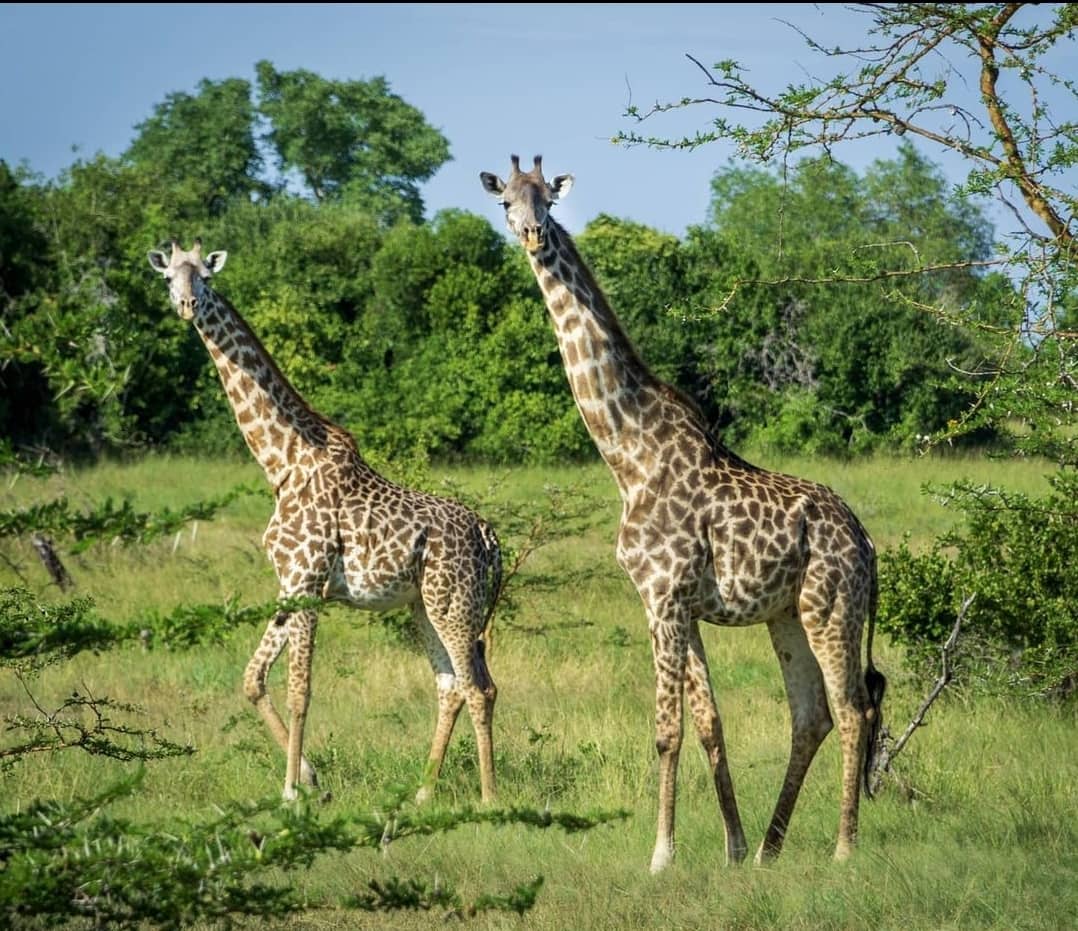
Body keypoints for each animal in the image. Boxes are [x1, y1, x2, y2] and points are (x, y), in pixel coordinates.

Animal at [148, 239, 501, 804]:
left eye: (204, 275)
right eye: (169, 278)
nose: (187, 305)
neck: (282, 463)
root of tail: (492, 541)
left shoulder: (310, 581)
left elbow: (301, 689)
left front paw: (292, 792)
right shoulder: (289, 582)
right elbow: (252, 679)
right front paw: (310, 779)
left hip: (455, 604)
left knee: (478, 686)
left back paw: (488, 797)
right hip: (424, 606)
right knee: (449, 685)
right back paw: (423, 793)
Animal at [481, 156, 886, 872]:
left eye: (548, 200)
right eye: (505, 201)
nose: (531, 234)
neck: (627, 453)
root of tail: (866, 542)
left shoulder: (663, 598)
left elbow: (666, 731)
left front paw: (661, 855)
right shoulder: (678, 604)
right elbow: (708, 722)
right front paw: (733, 846)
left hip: (832, 607)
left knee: (854, 710)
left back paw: (843, 849)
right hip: (786, 615)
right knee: (810, 715)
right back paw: (771, 849)